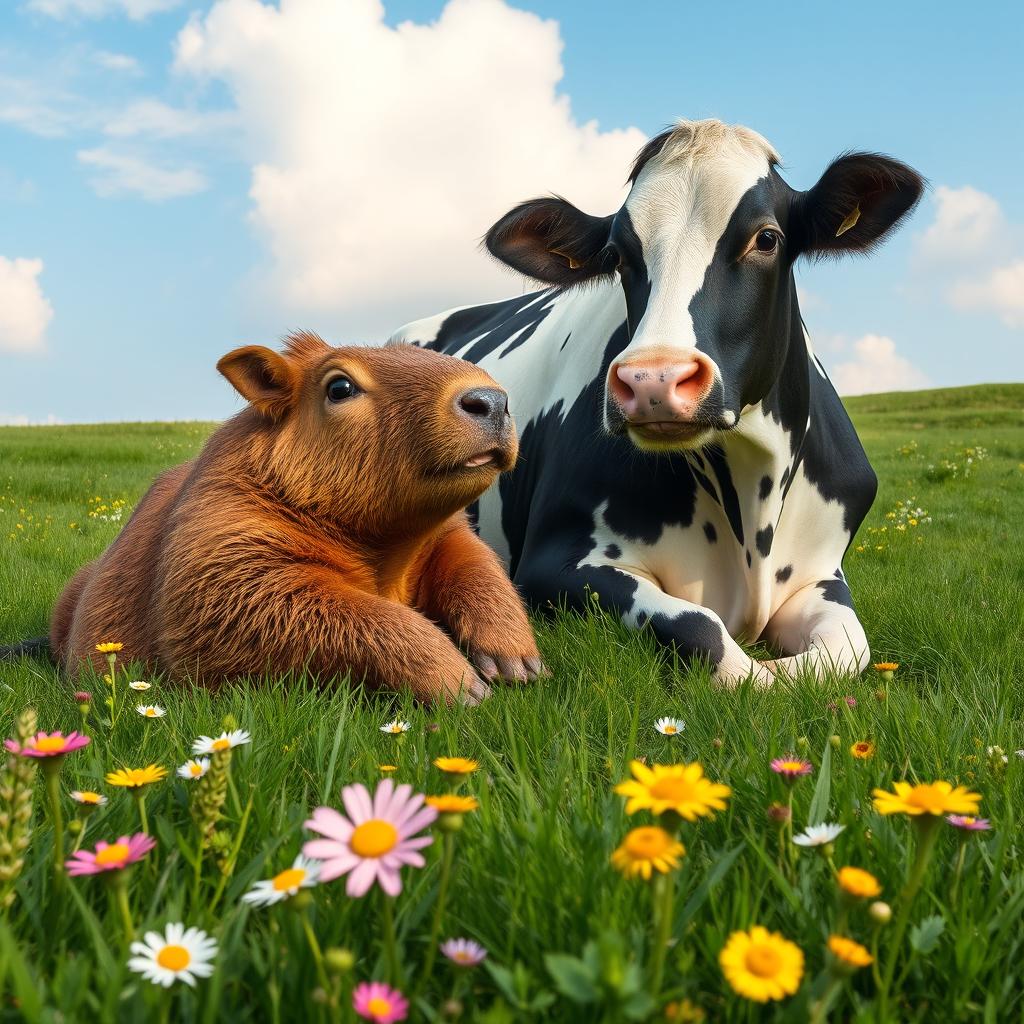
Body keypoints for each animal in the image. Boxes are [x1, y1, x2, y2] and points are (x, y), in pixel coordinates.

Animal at [389, 119, 924, 687]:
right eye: (618, 256)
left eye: (766, 238)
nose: (653, 380)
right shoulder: (552, 562)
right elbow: (709, 635)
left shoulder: (822, 572)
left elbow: (846, 649)